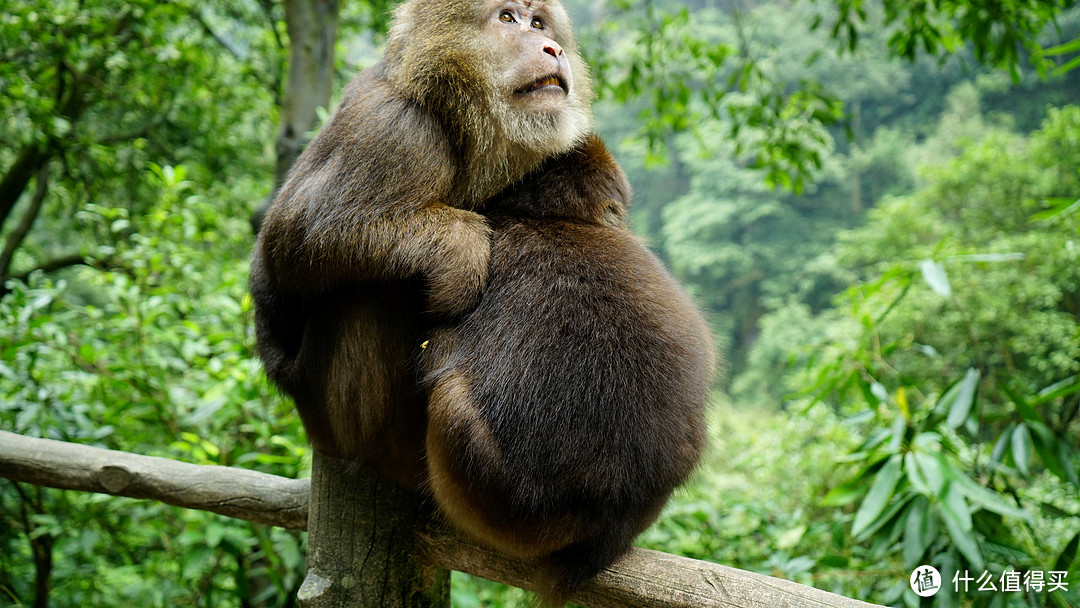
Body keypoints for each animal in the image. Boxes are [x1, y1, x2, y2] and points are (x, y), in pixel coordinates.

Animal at [251, 0, 591, 488]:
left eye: (540, 23)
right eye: (508, 18)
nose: (552, 48)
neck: (448, 109)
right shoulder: (397, 132)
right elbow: (292, 241)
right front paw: (461, 251)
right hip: (328, 415)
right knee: (368, 294)